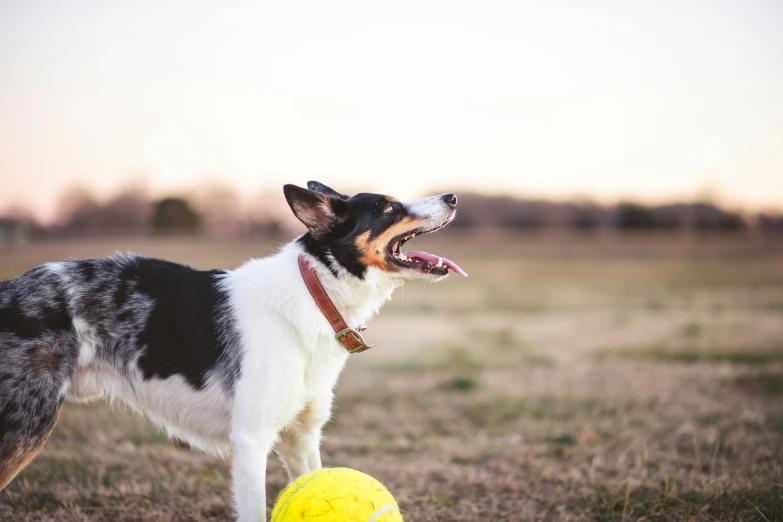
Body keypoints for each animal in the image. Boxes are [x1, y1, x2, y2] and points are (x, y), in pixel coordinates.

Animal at [0, 181, 466, 516]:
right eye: (389, 208)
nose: (453, 196)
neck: (316, 293)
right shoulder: (251, 441)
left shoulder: (300, 440)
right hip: (26, 425)